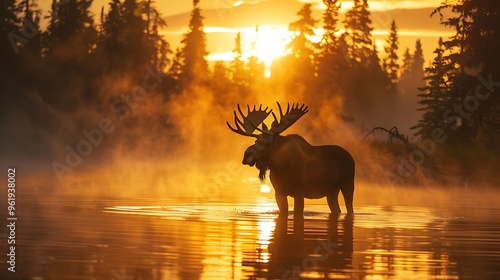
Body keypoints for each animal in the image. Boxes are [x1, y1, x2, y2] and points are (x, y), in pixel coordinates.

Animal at [228, 103, 356, 217]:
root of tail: (351, 157)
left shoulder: (299, 192)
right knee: (337, 210)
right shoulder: (279, 192)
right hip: (331, 191)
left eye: (268, 142)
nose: (247, 155)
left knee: (350, 209)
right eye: (256, 140)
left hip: (348, 184)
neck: (280, 167)